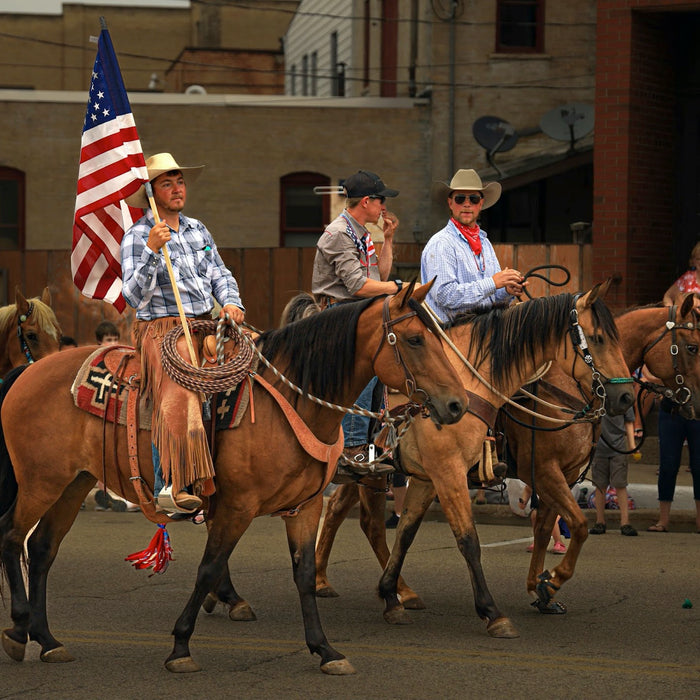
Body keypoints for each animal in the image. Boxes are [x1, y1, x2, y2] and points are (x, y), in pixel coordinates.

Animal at [1, 284, 470, 672]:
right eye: (415, 339)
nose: (457, 405)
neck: (294, 401)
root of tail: (29, 372)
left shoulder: (304, 507)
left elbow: (303, 574)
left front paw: (324, 649)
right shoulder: (236, 506)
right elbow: (209, 568)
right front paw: (181, 646)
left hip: (74, 482)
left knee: (41, 549)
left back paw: (47, 640)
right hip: (41, 482)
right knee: (12, 535)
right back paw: (19, 629)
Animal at [500, 296, 700, 612]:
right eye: (692, 347)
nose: (626, 398)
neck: (569, 384)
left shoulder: (564, 473)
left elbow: (544, 528)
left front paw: (539, 589)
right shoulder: (546, 470)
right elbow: (580, 526)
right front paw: (553, 581)